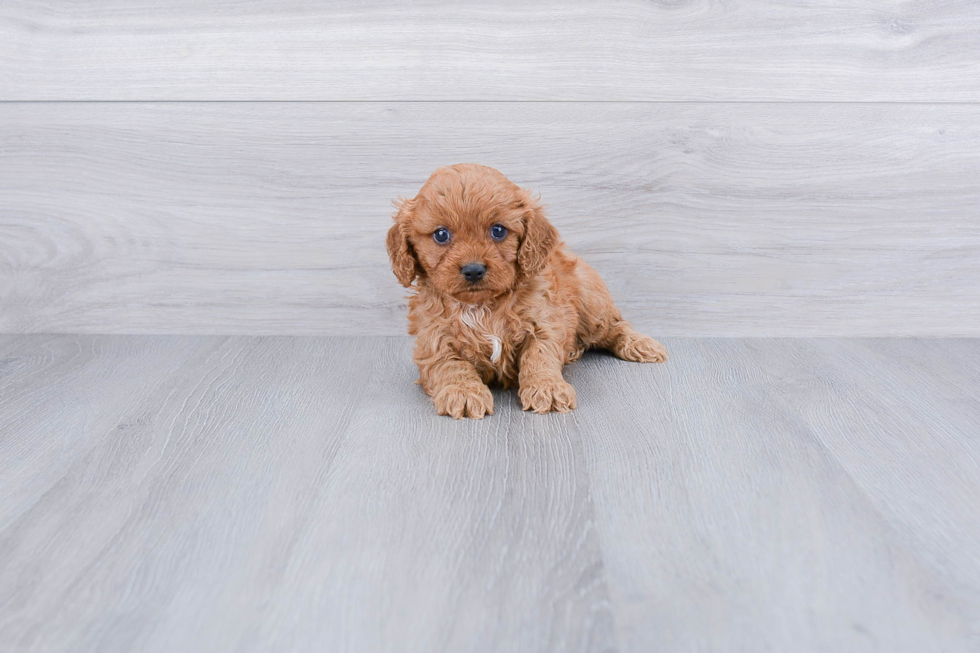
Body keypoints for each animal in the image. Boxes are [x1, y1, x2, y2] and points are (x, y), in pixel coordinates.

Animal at [382, 163, 668, 418]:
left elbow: (538, 357)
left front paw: (547, 388)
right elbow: (451, 365)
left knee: (615, 326)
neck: (481, 306)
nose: (473, 270)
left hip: (591, 304)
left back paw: (640, 344)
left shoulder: (542, 323)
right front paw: (463, 392)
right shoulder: (433, 341)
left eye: (498, 230)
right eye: (441, 235)